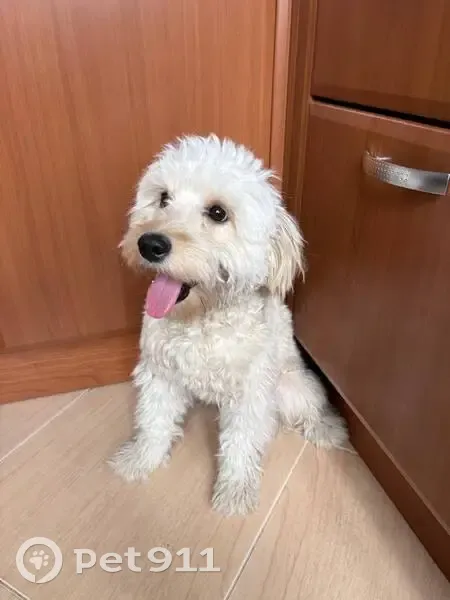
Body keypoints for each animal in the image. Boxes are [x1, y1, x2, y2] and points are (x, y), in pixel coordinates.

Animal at [110, 134, 347, 516]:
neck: (202, 320)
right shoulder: (160, 374)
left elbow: (240, 445)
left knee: (309, 407)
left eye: (218, 213)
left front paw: (235, 492)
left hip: (290, 387)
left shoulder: (250, 394)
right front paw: (140, 460)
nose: (150, 243)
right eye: (163, 198)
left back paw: (325, 428)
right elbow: (153, 421)